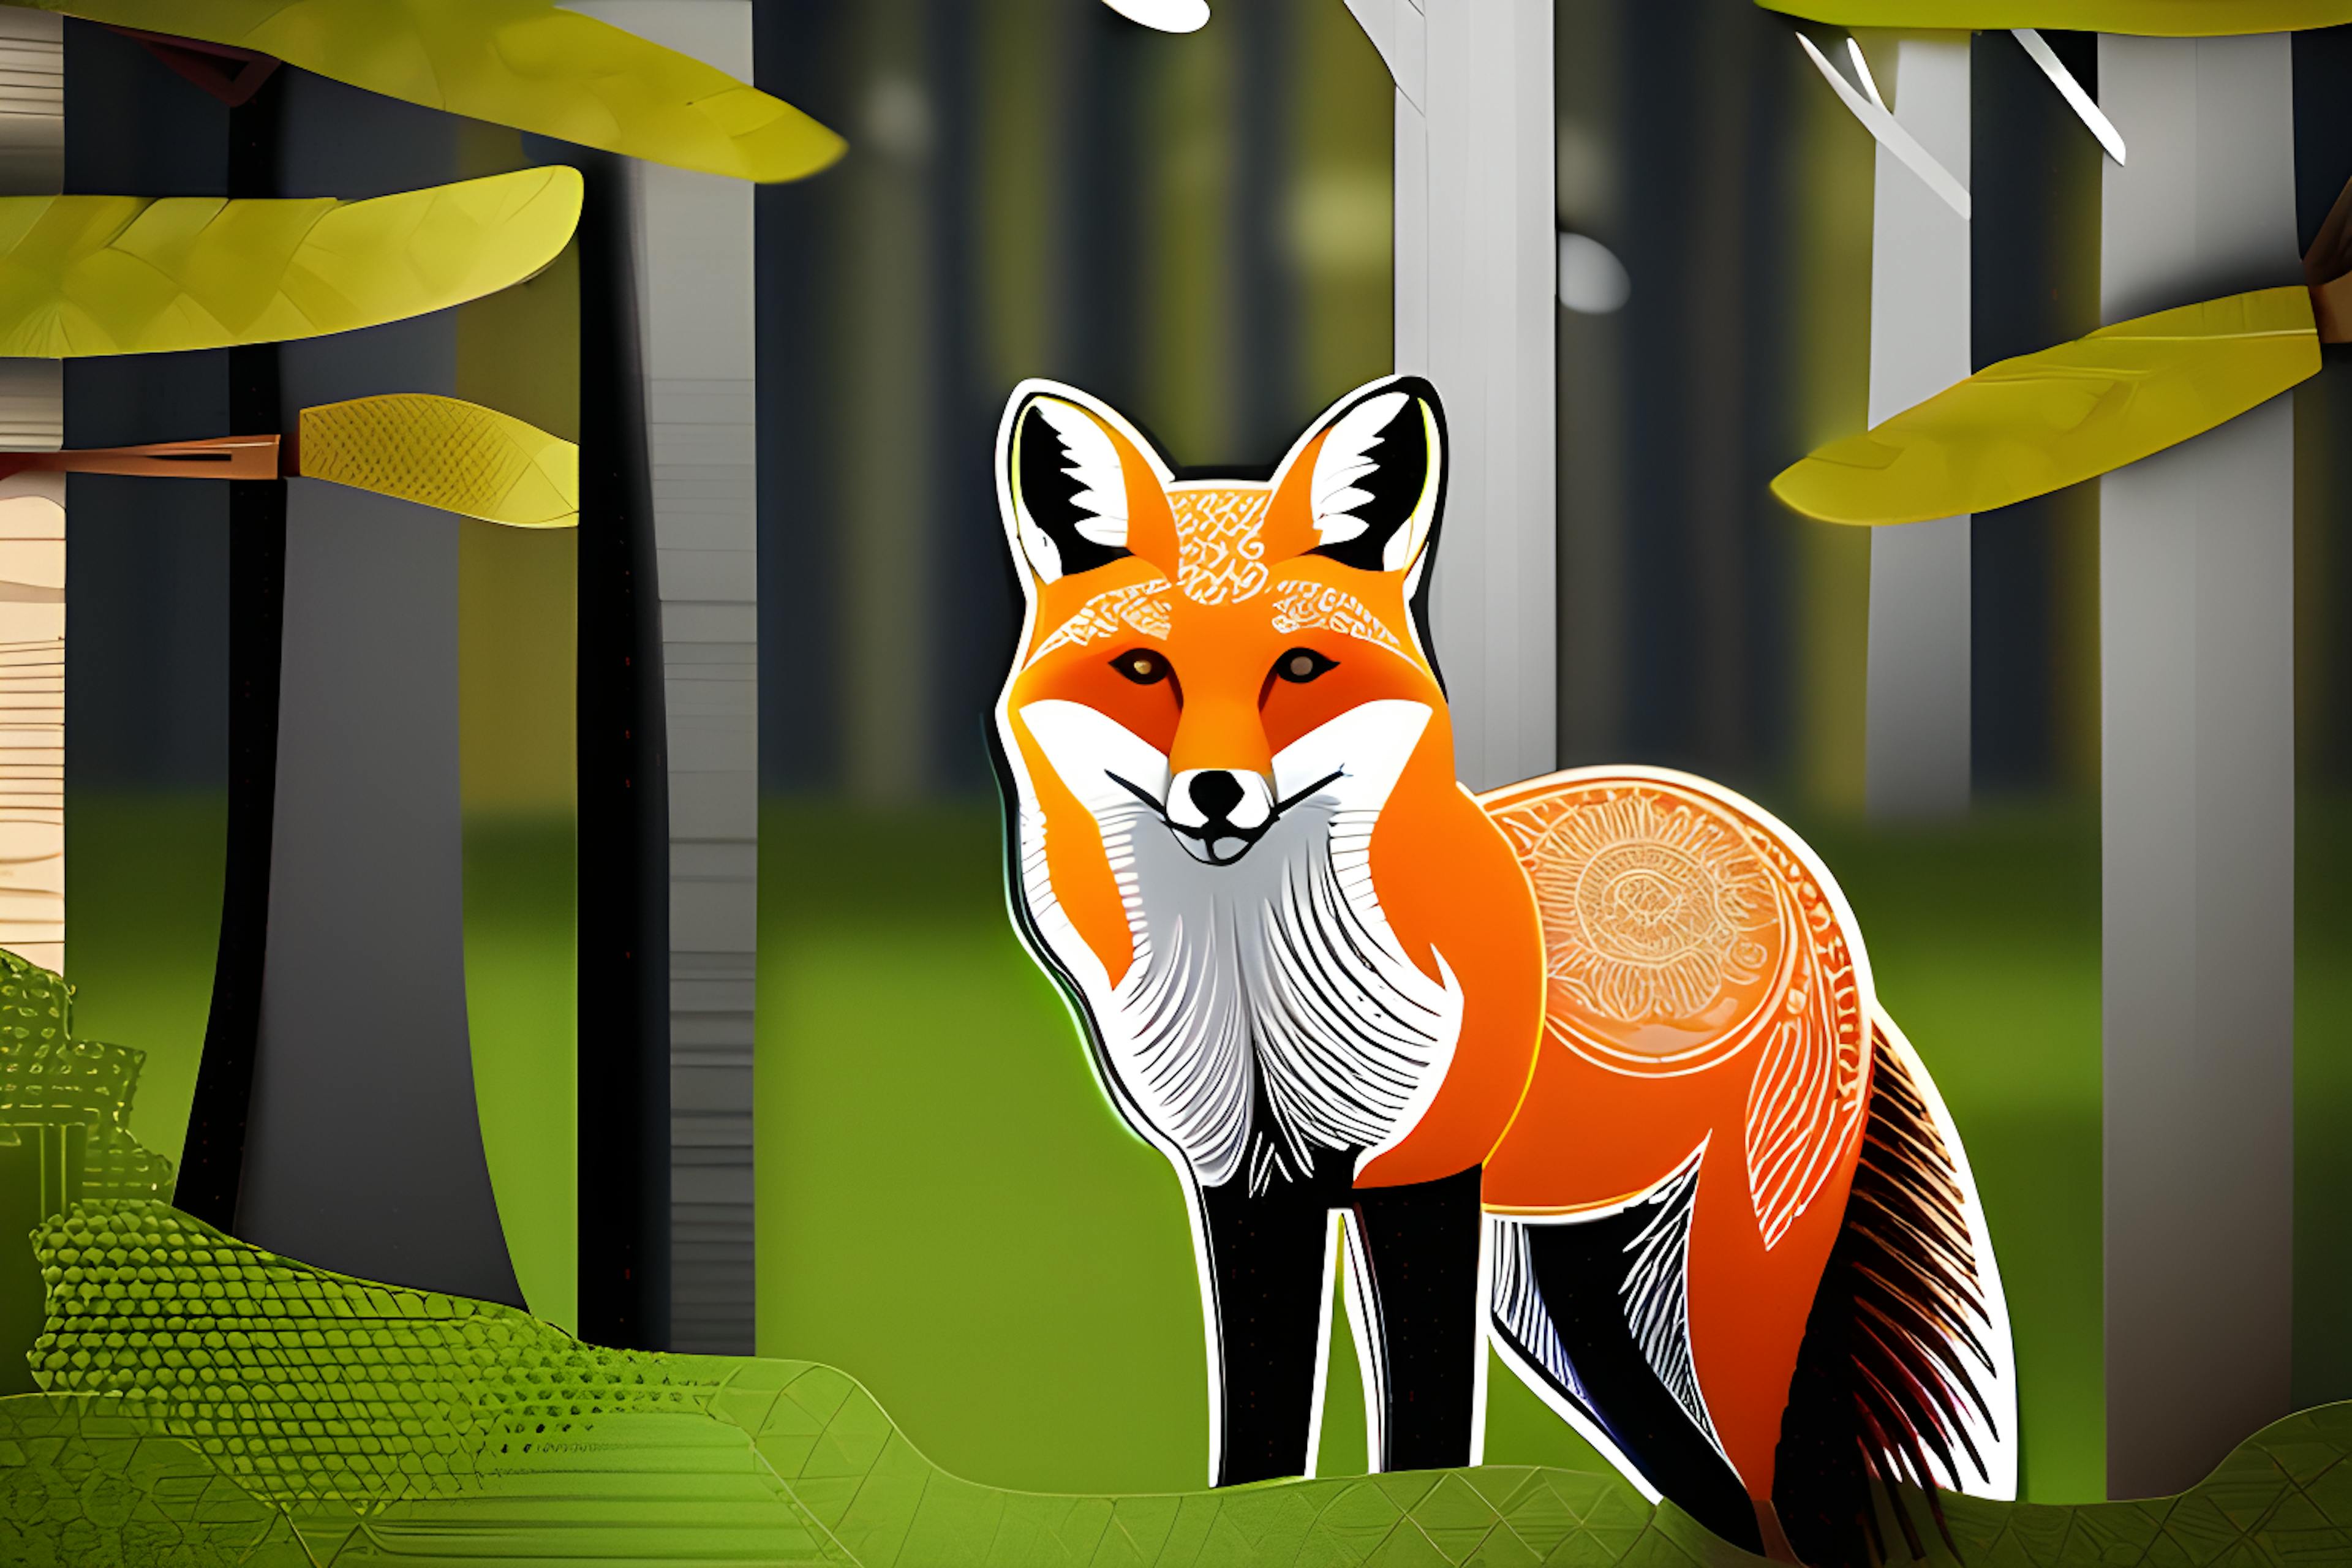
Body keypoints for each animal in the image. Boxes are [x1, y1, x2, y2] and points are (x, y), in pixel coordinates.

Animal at [990, 374, 2015, 1566]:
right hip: (1575, 1317)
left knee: (1780, 1498)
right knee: (1721, 1499)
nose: (1215, 794)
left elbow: (1426, 1448)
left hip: (1730, 1306)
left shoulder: (1421, 1178)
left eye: (1300, 669)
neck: (1253, 989)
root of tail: (1790, 859)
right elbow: (1256, 1453)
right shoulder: (1246, 1187)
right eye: (1145, 671)